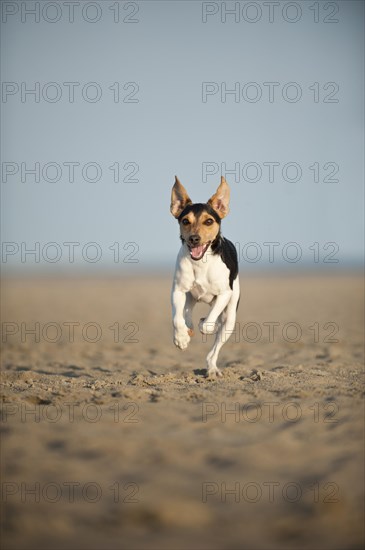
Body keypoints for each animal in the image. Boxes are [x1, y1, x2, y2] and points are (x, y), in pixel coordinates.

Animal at [170, 177, 239, 380]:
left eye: (209, 221)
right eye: (185, 221)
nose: (194, 238)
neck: (200, 263)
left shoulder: (224, 294)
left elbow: (208, 324)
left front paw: (205, 324)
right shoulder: (177, 290)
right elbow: (177, 319)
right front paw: (181, 338)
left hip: (230, 316)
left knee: (214, 347)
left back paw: (212, 369)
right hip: (190, 296)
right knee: (186, 312)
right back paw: (189, 327)